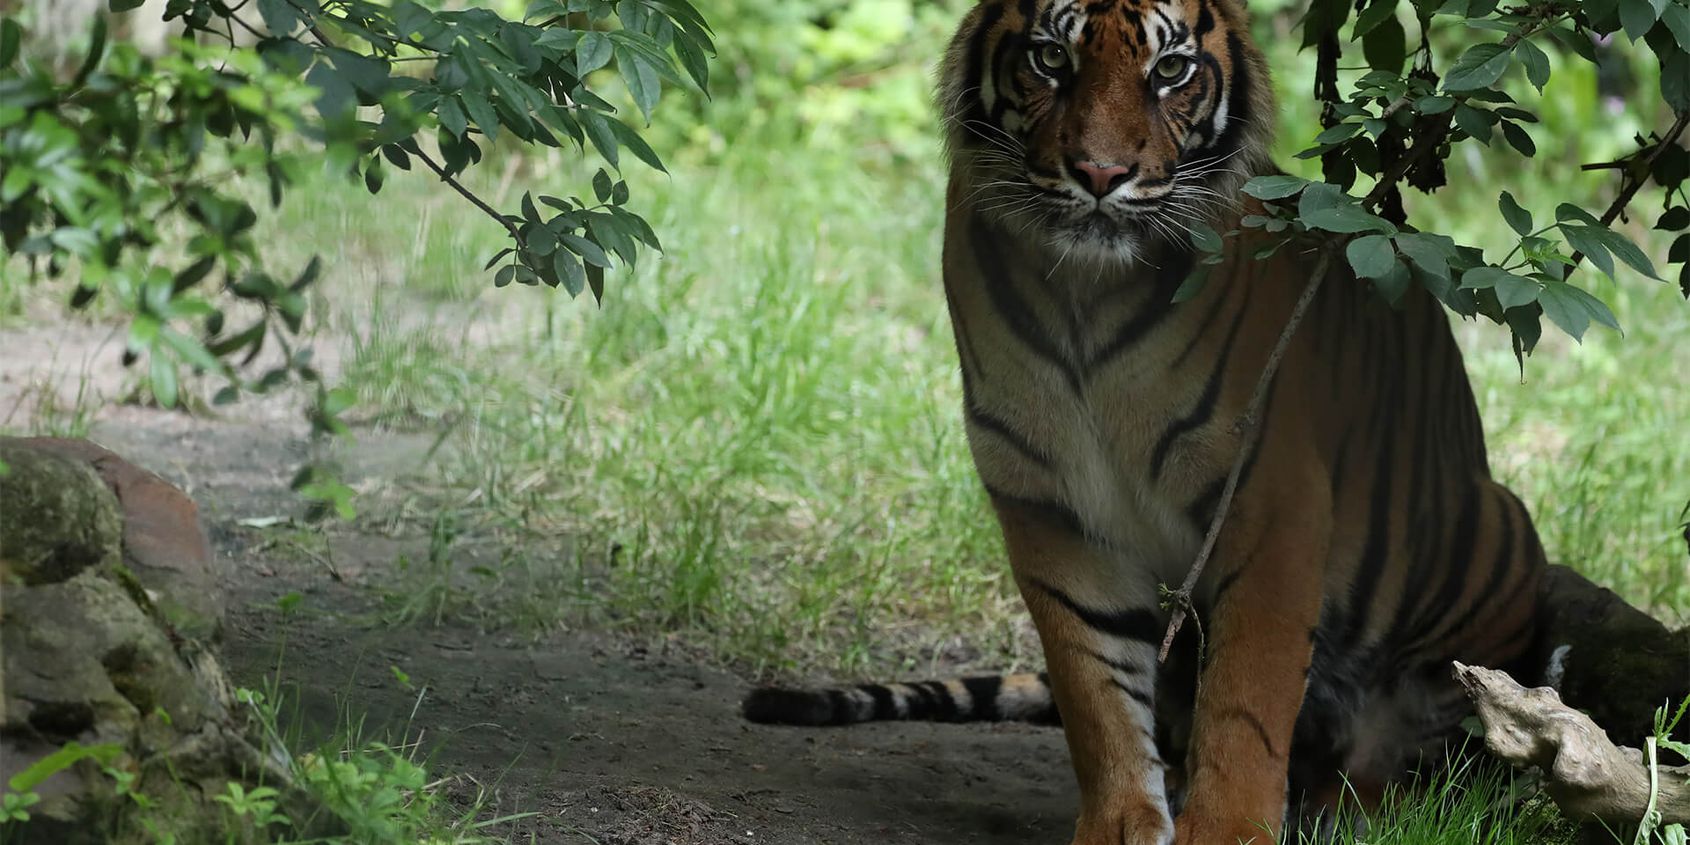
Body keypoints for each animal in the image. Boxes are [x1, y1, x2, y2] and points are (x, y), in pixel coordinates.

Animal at [744, 0, 1548, 843]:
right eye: (1050, 59)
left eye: (1170, 70)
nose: (1100, 174)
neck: (1084, 299)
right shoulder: (1049, 503)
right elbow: (1094, 684)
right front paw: (1124, 821)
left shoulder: (1270, 500)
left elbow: (1248, 692)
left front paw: (1228, 828)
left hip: (1494, 541)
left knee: (1413, 760)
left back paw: (1352, 803)